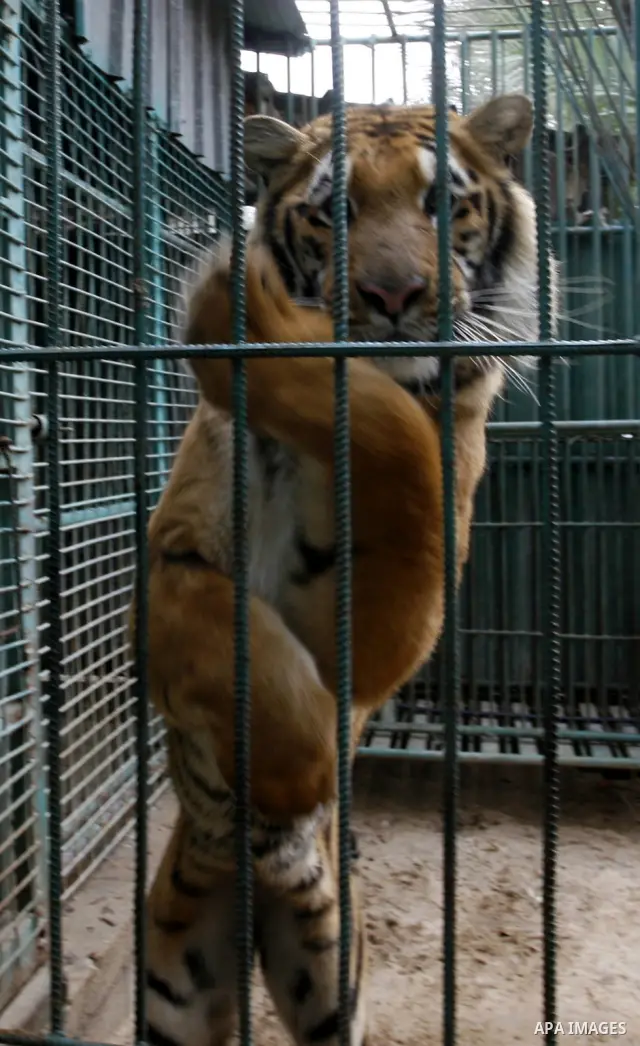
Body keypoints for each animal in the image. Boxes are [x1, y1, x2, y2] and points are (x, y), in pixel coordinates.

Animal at [134, 94, 557, 1046]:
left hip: (334, 982)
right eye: (337, 210)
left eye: (443, 205)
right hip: (173, 990)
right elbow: (241, 651)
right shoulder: (174, 555)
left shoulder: (399, 610)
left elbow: (404, 452)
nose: (393, 296)